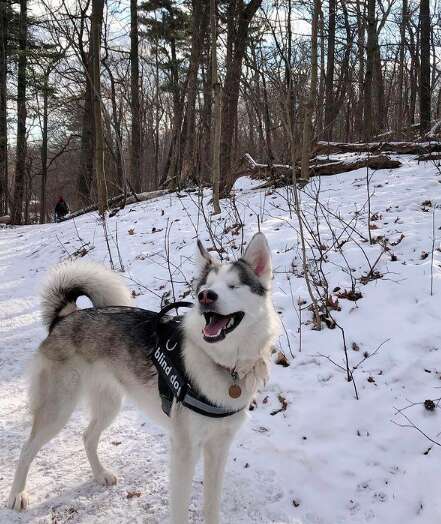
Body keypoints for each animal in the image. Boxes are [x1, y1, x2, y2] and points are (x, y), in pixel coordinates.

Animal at [7, 233, 278, 524]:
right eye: (205, 287)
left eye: (233, 286)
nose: (206, 296)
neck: (223, 363)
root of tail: (64, 317)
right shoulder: (184, 451)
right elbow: (180, 510)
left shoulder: (218, 448)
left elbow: (212, 506)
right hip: (57, 410)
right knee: (26, 449)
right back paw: (16, 495)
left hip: (108, 405)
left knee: (87, 436)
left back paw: (100, 474)